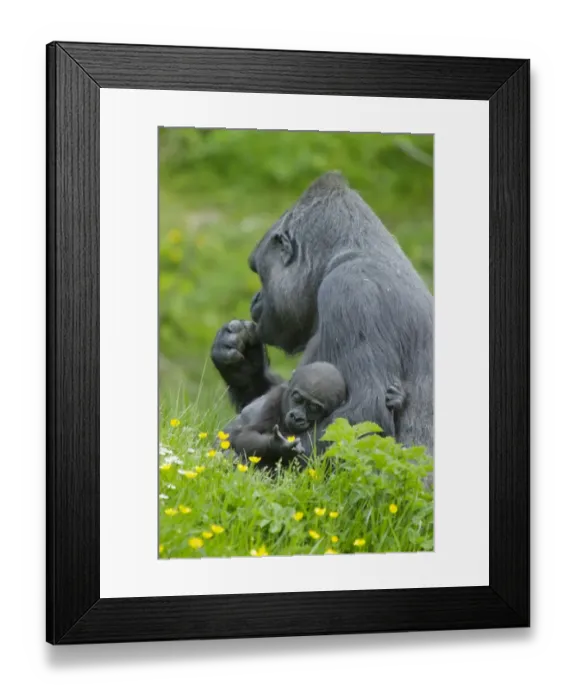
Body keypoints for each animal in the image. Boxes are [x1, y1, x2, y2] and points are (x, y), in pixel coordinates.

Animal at [210, 171, 433, 463]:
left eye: (259, 272)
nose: (256, 299)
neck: (350, 253)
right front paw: (240, 361)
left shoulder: (350, 291)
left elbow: (364, 414)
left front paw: (273, 448)